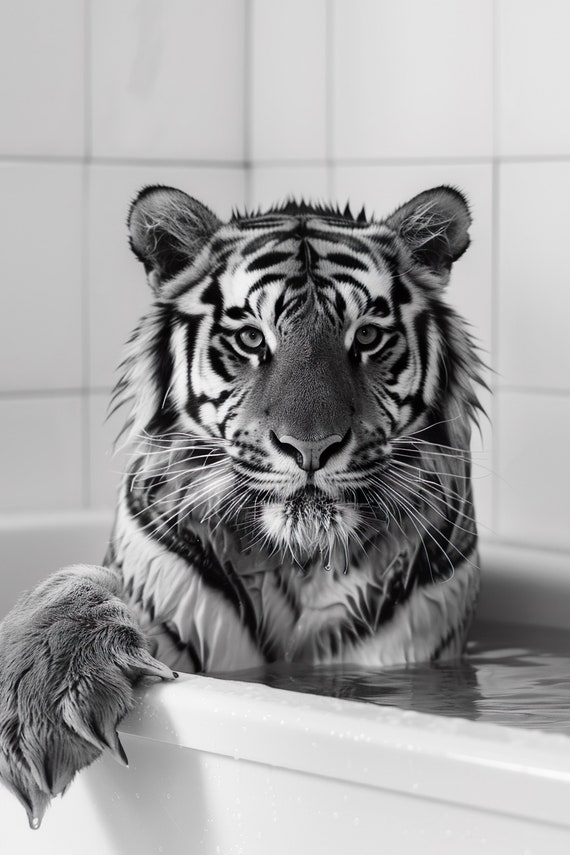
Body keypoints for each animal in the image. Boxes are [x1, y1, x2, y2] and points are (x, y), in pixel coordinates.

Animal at [0, 184, 485, 827]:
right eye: (252, 338)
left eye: (367, 337)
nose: (311, 448)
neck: (298, 563)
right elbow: (76, 584)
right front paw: (42, 704)